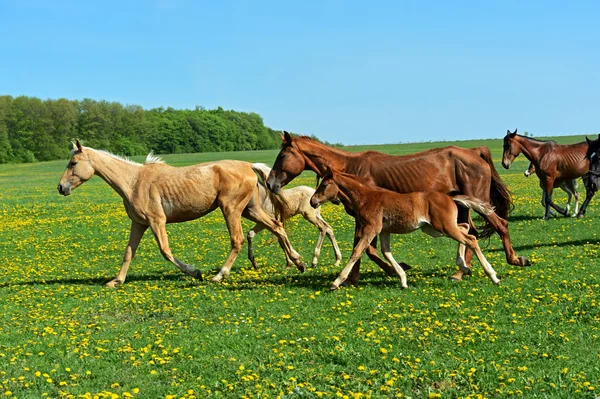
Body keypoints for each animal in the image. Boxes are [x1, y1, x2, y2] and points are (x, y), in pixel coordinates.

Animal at [56, 141, 304, 288]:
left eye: (73, 162)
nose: (60, 187)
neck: (134, 181)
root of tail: (249, 166)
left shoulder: (157, 221)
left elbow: (165, 251)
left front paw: (195, 272)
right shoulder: (139, 224)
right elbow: (128, 253)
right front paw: (116, 281)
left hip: (231, 210)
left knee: (238, 239)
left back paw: (219, 275)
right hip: (250, 210)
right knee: (277, 226)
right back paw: (298, 261)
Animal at [310, 169, 502, 290]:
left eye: (324, 185)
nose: (312, 201)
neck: (366, 197)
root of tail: (450, 198)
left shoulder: (371, 229)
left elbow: (357, 251)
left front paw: (335, 283)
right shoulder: (384, 231)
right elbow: (386, 252)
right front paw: (403, 280)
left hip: (443, 226)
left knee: (471, 239)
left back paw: (493, 276)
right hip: (434, 229)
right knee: (465, 228)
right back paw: (463, 265)